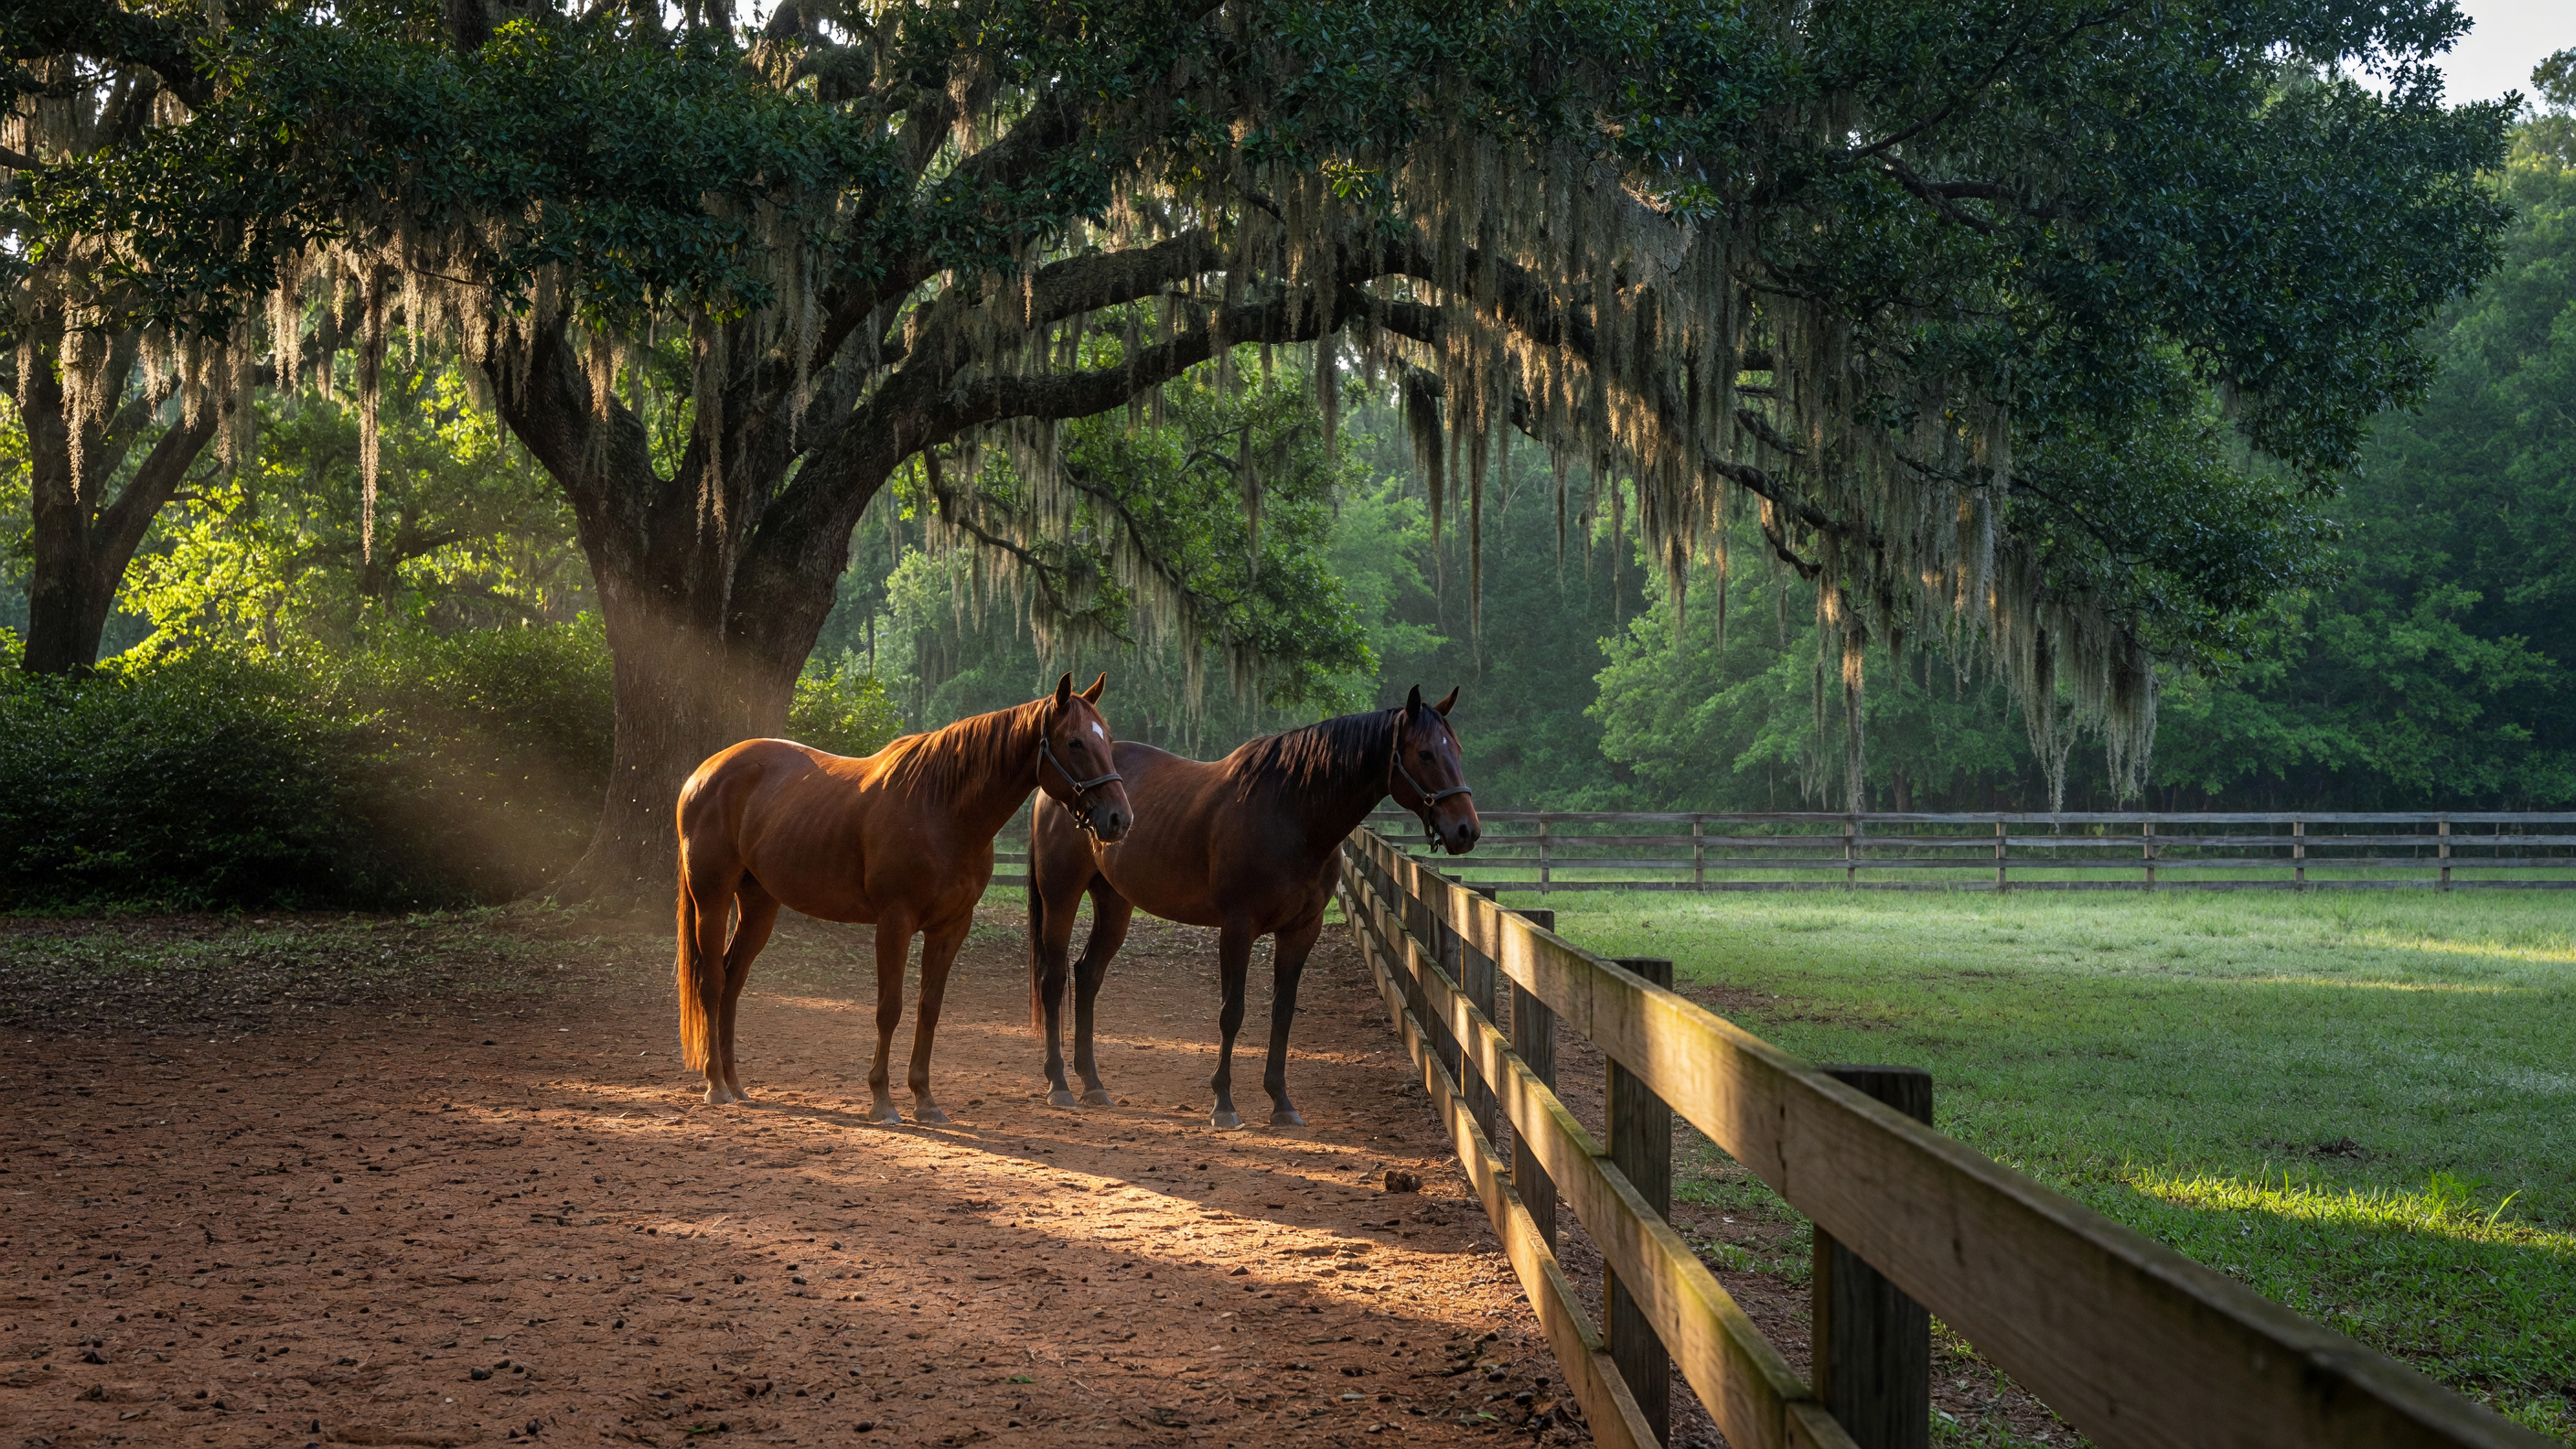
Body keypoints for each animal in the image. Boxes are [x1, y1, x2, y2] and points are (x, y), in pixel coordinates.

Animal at [676, 672, 1134, 1123]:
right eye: (1074, 742)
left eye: (1107, 739)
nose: (1119, 819)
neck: (941, 810)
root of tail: (704, 773)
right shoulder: (894, 924)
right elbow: (889, 1009)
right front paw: (882, 1101)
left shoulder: (950, 928)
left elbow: (928, 1008)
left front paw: (925, 1100)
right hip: (712, 899)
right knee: (711, 981)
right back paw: (716, 1086)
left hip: (758, 905)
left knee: (732, 980)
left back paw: (737, 1086)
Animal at [1025, 685, 1479, 1128]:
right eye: (1425, 753)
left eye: (1458, 750)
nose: (1466, 830)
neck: (1292, 812)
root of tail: (1055, 791)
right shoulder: (1237, 928)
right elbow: (1233, 1012)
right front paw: (1223, 1104)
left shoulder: (1302, 931)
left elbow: (1283, 1012)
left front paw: (1281, 1103)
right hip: (1062, 894)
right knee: (1054, 978)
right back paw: (1059, 1084)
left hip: (1114, 902)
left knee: (1087, 975)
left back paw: (1093, 1084)